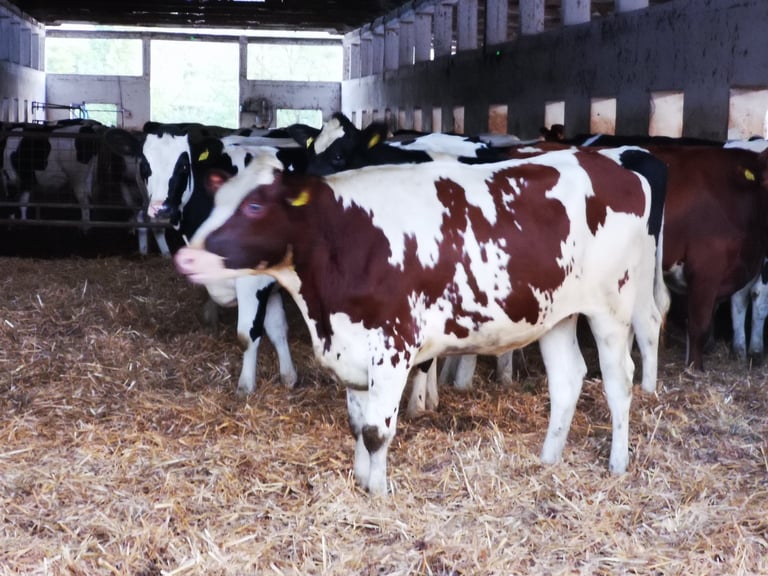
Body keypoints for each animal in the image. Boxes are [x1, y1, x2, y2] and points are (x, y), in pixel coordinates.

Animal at [174, 145, 668, 496]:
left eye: (255, 207)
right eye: (217, 199)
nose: (186, 256)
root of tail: (620, 169)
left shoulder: (393, 347)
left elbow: (377, 431)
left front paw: (378, 492)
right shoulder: (351, 347)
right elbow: (358, 423)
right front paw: (362, 479)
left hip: (610, 308)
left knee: (618, 380)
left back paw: (617, 463)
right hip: (555, 314)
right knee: (567, 380)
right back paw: (548, 459)